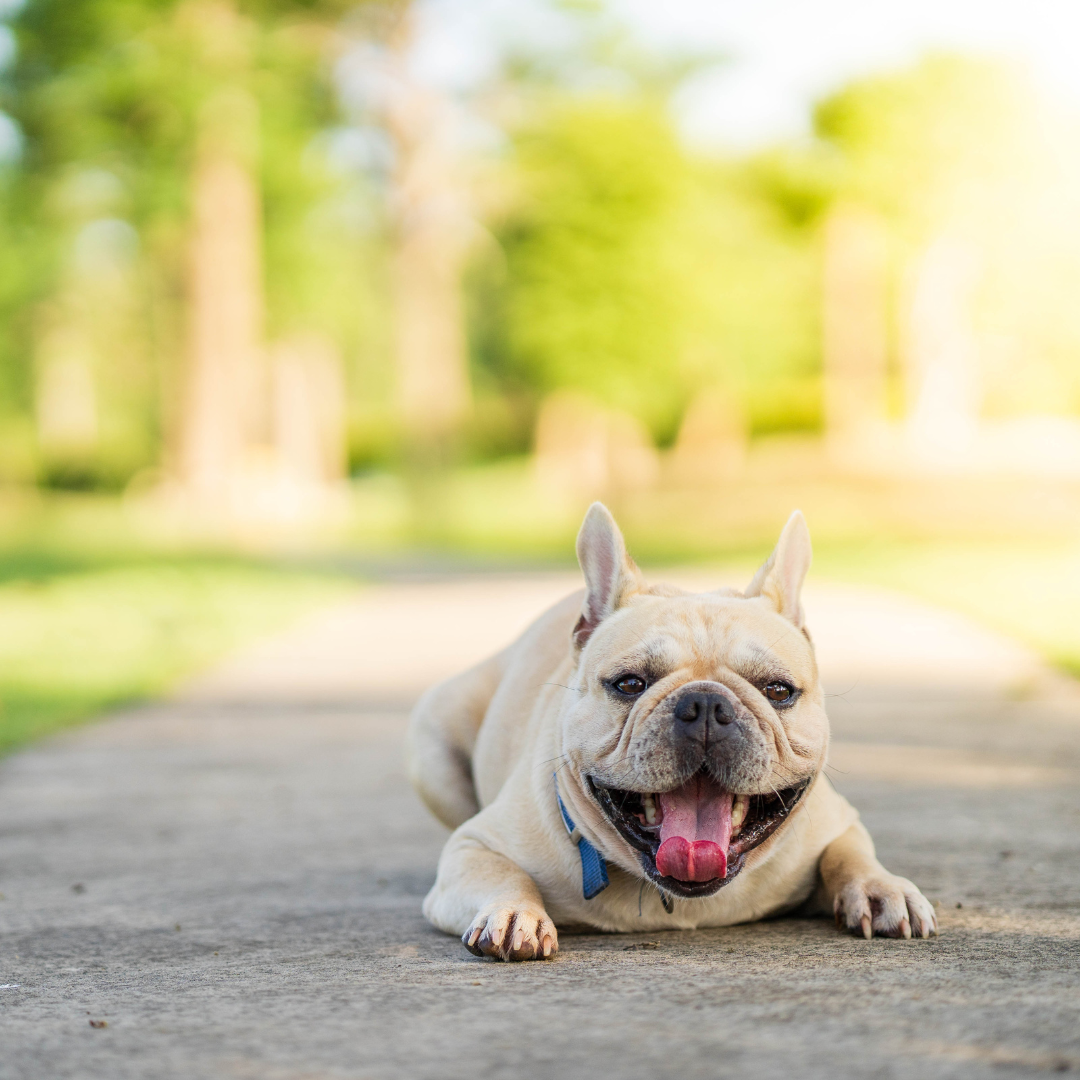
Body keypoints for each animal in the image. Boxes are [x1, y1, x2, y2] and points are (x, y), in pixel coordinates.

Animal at [406, 505, 937, 963]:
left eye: (778, 690)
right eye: (629, 684)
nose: (704, 705)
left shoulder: (839, 822)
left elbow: (849, 853)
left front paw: (881, 888)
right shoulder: (472, 846)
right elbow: (503, 873)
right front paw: (516, 913)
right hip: (432, 748)